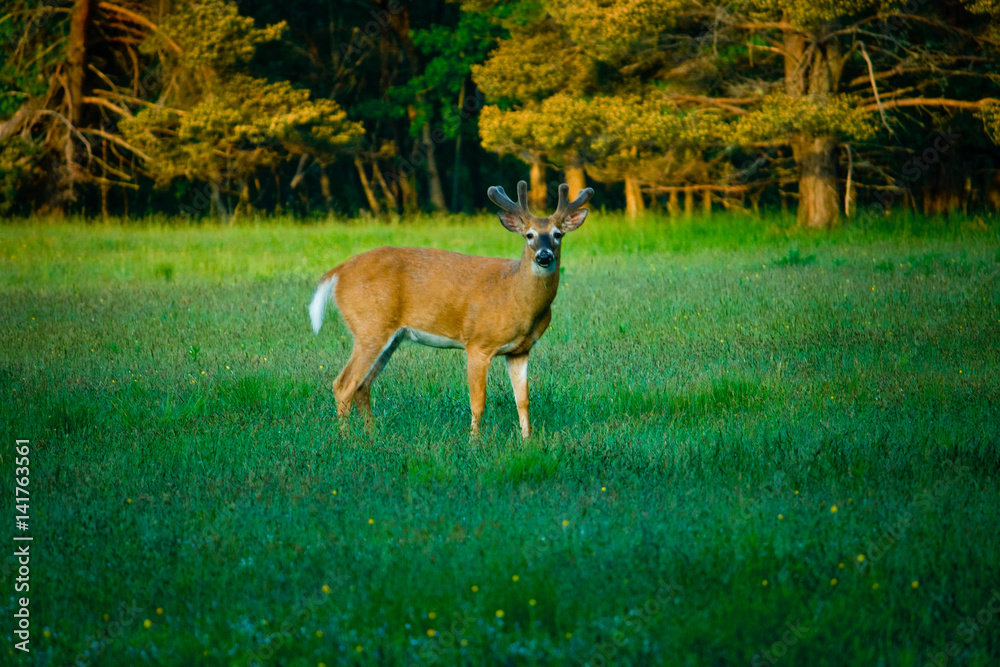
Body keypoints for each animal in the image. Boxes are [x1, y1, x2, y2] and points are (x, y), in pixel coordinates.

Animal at [309, 181, 593, 438]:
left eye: (558, 234)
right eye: (529, 235)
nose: (544, 256)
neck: (515, 295)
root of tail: (338, 272)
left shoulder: (520, 350)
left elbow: (523, 401)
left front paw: (527, 442)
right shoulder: (478, 343)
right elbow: (478, 402)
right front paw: (474, 444)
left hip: (390, 336)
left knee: (362, 386)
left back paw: (372, 437)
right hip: (370, 326)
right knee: (343, 384)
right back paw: (347, 440)